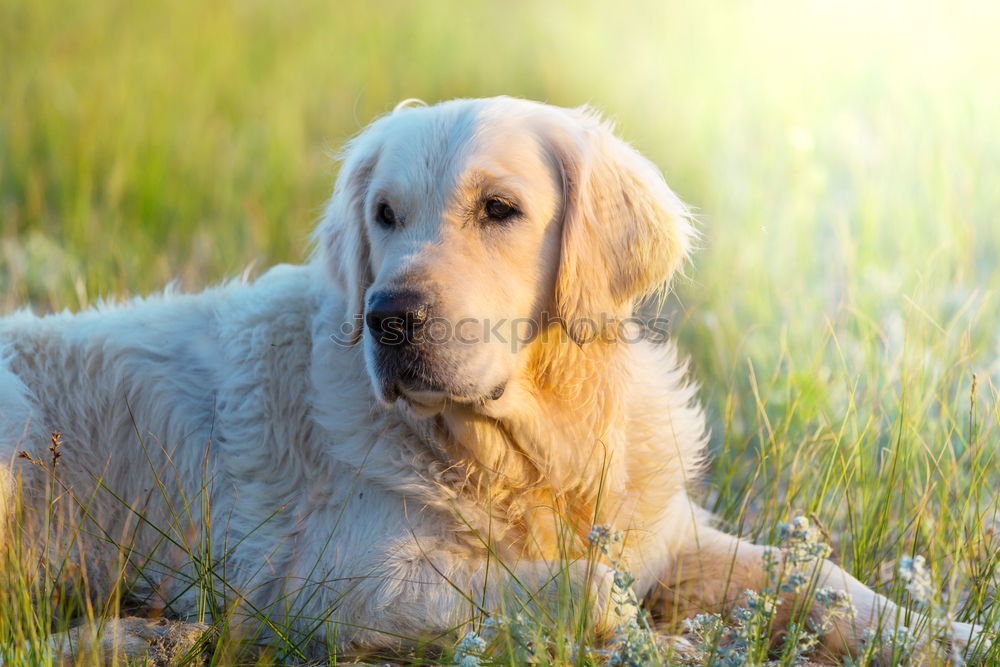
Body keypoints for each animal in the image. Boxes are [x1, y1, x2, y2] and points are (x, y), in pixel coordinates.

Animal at [0, 98, 984, 664]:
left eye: (499, 209)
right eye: (384, 214)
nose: (387, 317)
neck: (530, 449)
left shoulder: (664, 530)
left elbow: (815, 574)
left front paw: (944, 633)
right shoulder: (328, 584)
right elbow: (588, 590)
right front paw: (661, 643)